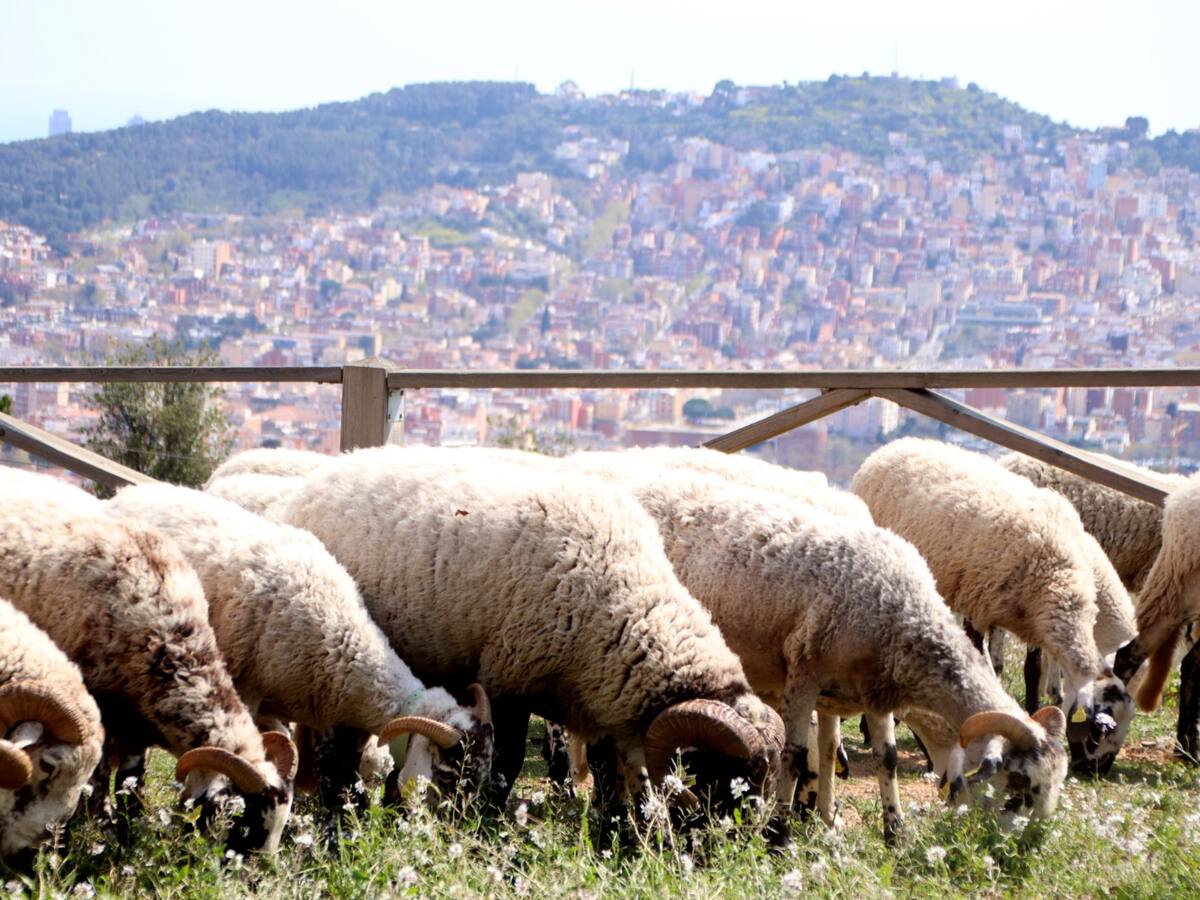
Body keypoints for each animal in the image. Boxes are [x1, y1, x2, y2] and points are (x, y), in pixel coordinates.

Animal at [102, 482, 493, 819]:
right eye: (448, 772)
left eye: (483, 769)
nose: (460, 823)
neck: (339, 639)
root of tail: (132, 491)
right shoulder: (246, 693)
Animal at [276, 445, 786, 820]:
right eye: (729, 771)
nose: (750, 843)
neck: (626, 600)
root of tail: (321, 478)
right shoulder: (509, 681)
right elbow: (508, 761)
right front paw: (485, 822)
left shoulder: (600, 695)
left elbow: (607, 773)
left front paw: (615, 830)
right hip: (335, 655)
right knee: (336, 746)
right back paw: (345, 812)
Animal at [851, 438, 1134, 777]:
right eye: (1101, 729)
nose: (1096, 772)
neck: (1063, 578)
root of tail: (896, 444)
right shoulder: (979, 602)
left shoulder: (1034, 617)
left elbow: (1032, 668)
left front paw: (1035, 714)